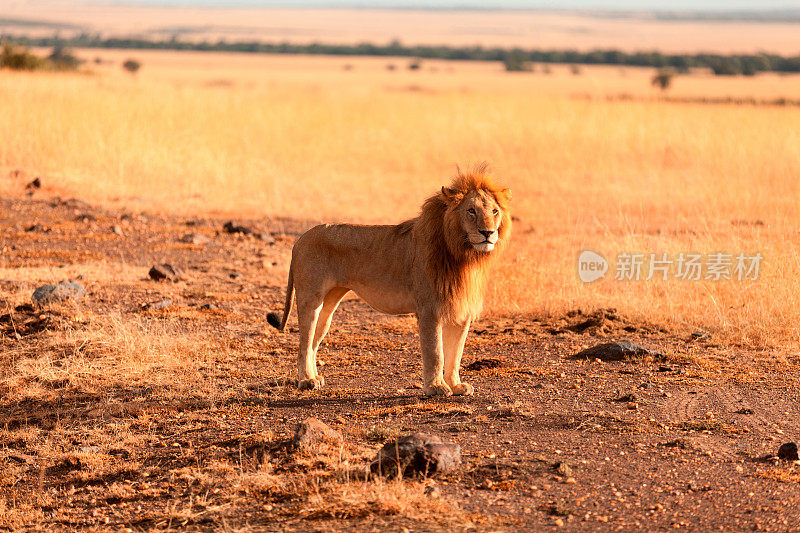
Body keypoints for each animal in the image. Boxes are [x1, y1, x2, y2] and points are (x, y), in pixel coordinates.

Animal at [266, 166, 510, 394]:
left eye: (495, 211)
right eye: (471, 211)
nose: (488, 233)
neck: (464, 255)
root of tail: (300, 239)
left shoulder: (460, 309)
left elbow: (455, 353)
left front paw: (456, 385)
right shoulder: (429, 308)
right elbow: (435, 352)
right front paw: (436, 387)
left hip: (329, 305)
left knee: (313, 343)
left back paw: (315, 378)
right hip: (310, 298)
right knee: (303, 344)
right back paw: (306, 381)